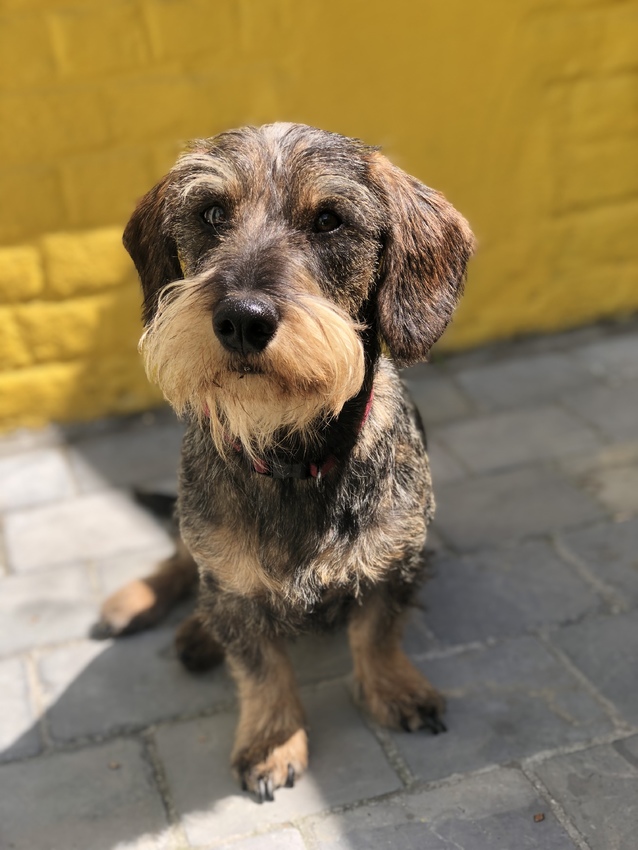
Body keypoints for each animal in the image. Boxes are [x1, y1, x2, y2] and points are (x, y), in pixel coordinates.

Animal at [97, 123, 474, 802]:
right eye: (212, 213)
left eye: (328, 221)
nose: (242, 320)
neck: (294, 454)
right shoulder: (233, 588)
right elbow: (261, 668)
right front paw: (273, 743)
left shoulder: (394, 565)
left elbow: (377, 633)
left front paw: (393, 689)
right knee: (180, 561)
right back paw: (155, 609)